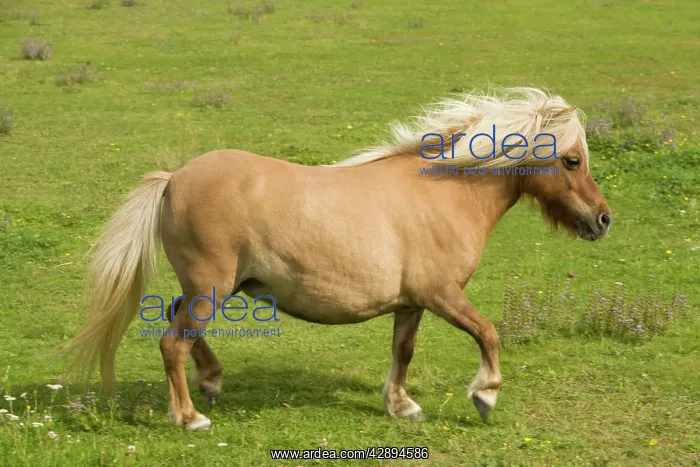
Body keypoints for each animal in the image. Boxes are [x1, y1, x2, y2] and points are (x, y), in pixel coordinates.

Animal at [64, 87, 612, 430]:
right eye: (572, 160)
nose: (603, 219)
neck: (445, 194)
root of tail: (175, 178)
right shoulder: (442, 295)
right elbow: (488, 333)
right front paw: (485, 395)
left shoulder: (412, 303)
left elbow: (403, 351)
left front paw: (402, 406)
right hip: (211, 287)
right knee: (173, 343)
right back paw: (190, 417)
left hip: (211, 287)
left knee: (180, 324)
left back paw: (213, 380)